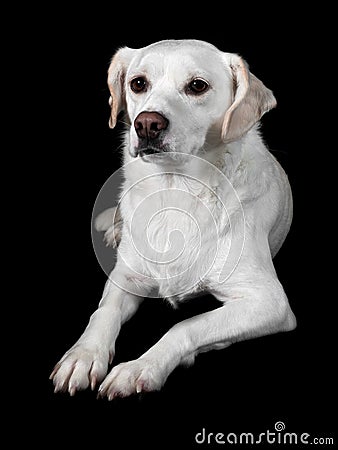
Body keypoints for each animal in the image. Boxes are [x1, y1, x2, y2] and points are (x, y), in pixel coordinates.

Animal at [49, 38, 296, 398]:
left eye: (197, 86)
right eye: (138, 83)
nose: (146, 123)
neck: (175, 188)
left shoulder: (269, 302)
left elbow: (186, 325)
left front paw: (140, 368)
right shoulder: (126, 277)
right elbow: (103, 313)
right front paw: (83, 355)